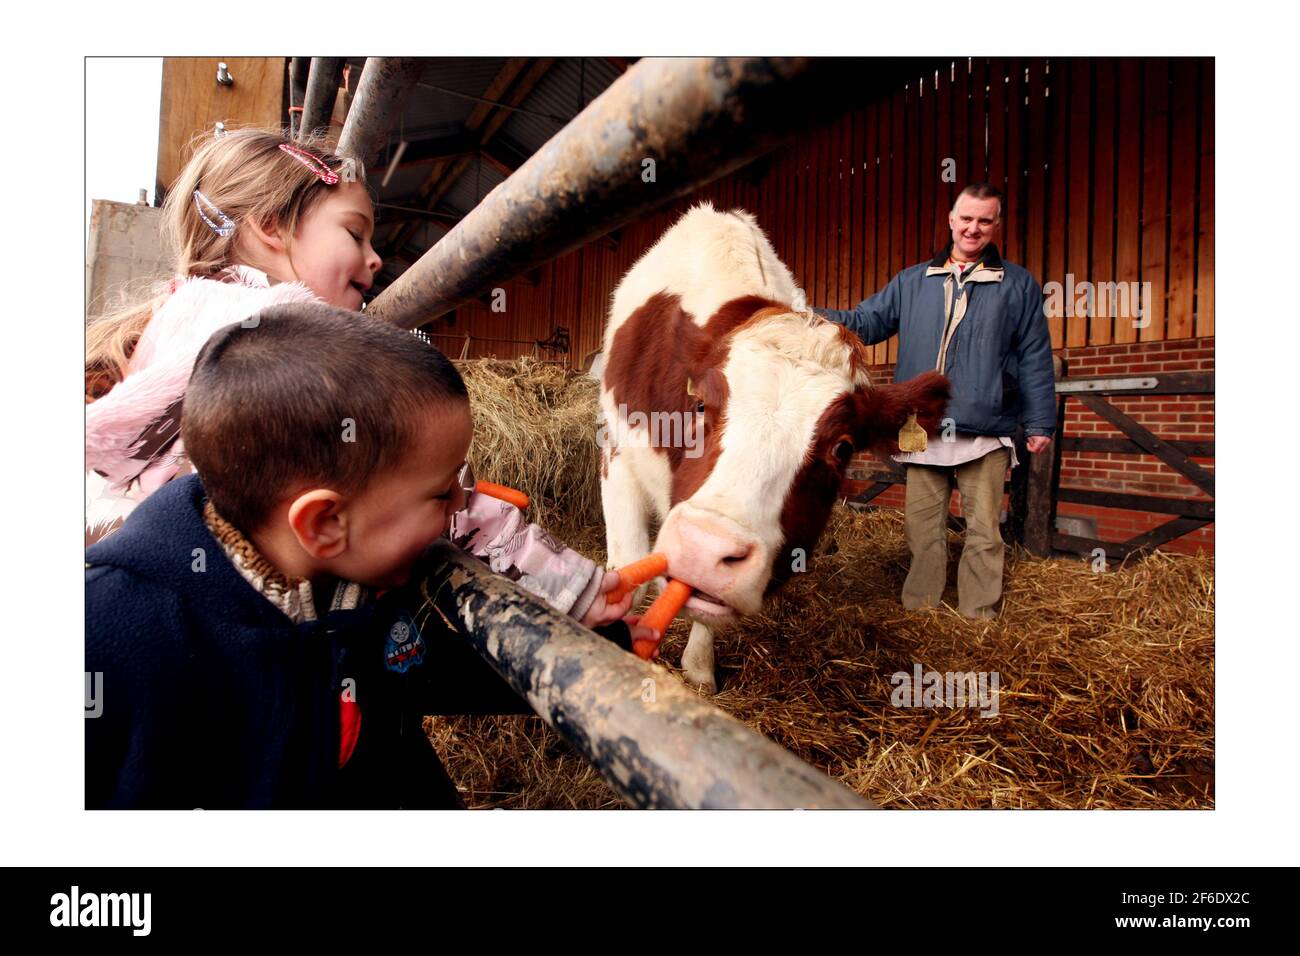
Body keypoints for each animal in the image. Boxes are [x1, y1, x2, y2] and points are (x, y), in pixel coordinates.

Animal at [595, 204, 946, 697]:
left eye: (842, 448)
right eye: (700, 407)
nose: (705, 546)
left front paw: (699, 668)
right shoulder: (617, 452)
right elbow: (629, 572)